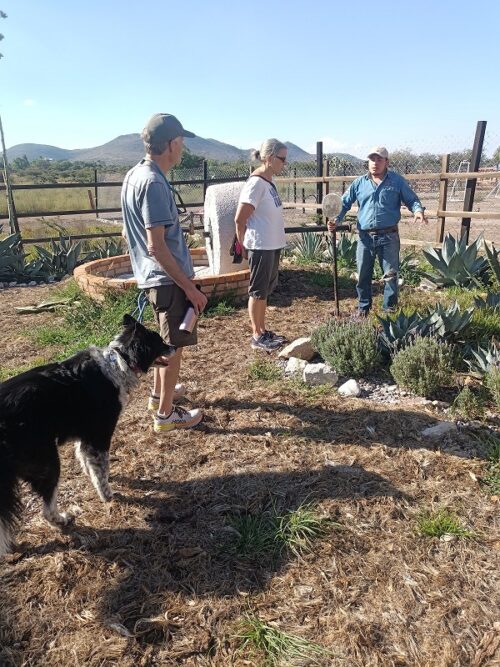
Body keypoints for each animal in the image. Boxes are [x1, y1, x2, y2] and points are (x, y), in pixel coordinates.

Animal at [0, 316, 176, 556]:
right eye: (159, 341)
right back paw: (63, 519)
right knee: (46, 509)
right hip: (48, 462)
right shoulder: (99, 435)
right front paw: (108, 496)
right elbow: (101, 471)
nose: (174, 346)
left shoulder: (84, 437)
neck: (119, 361)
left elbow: (88, 463)